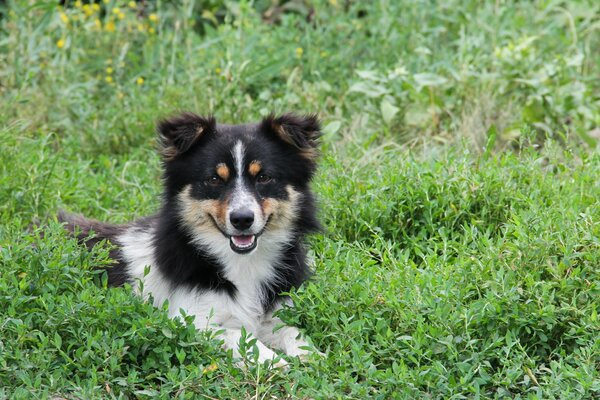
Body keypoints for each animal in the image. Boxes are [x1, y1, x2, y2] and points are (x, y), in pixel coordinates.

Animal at [59, 111, 324, 366]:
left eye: (264, 178)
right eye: (214, 179)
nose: (242, 219)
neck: (242, 262)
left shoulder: (275, 311)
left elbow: (292, 331)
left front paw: (311, 354)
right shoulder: (189, 318)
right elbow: (236, 335)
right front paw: (272, 360)